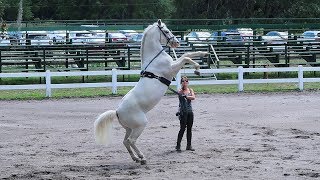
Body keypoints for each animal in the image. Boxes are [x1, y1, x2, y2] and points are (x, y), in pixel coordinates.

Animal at [94, 19, 208, 165]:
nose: (176, 42)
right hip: (140, 126)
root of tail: (117, 112)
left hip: (130, 128)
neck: (155, 59)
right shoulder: (172, 68)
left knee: (125, 141)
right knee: (131, 141)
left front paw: (204, 54)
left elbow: (187, 55)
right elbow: (185, 57)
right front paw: (197, 68)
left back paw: (135, 158)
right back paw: (142, 158)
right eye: (166, 31)